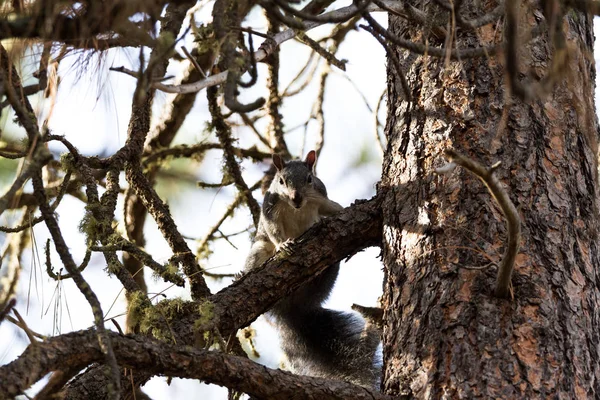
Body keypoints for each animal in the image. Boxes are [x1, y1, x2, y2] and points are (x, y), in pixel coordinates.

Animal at [243, 149, 380, 388]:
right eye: (281, 181)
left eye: (309, 179)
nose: (296, 198)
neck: (297, 207)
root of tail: (293, 306)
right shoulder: (270, 209)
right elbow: (273, 230)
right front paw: (283, 245)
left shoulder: (321, 198)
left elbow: (334, 208)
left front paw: (355, 205)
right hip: (259, 250)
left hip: (331, 267)